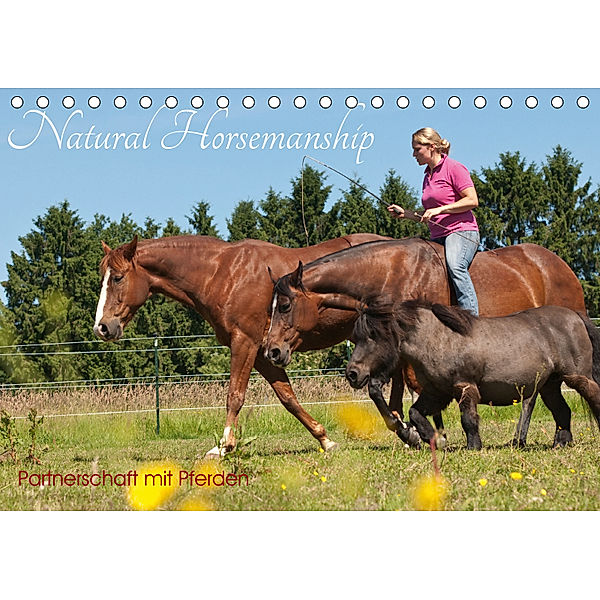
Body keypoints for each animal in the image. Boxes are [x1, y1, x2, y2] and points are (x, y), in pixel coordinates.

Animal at [92, 233, 386, 454]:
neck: (222, 274)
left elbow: (234, 396)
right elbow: (287, 397)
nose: (102, 327)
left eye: (117, 277)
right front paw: (325, 439)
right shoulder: (263, 353)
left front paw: (223, 446)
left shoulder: (244, 343)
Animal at [344, 300, 600, 450]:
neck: (439, 339)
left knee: (593, 397)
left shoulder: (464, 387)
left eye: (373, 336)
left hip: (577, 377)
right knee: (562, 411)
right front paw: (432, 439)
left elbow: (468, 419)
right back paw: (560, 444)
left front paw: (473, 447)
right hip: (550, 385)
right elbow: (415, 413)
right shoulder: (436, 392)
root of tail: (576, 316)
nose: (352, 374)